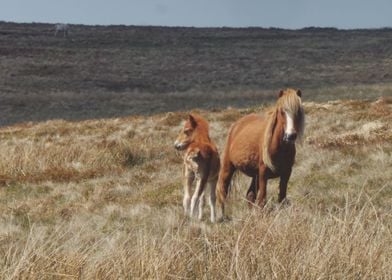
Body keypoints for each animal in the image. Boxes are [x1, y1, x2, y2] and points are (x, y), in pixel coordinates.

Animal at [216, 88, 304, 217]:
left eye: (298, 111)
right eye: (282, 112)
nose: (290, 135)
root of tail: (236, 125)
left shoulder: (286, 173)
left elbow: (281, 198)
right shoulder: (263, 173)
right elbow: (262, 200)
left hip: (255, 175)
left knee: (250, 195)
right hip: (228, 167)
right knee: (222, 190)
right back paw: (220, 216)